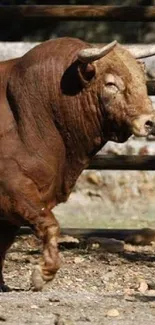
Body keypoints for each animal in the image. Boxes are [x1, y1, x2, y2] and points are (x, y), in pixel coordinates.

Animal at [0, 36, 155, 290]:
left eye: (142, 80)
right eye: (111, 83)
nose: (149, 122)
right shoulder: (14, 188)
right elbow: (49, 225)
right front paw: (43, 273)